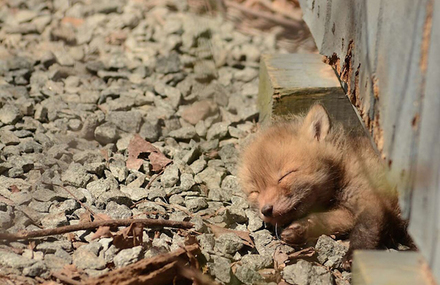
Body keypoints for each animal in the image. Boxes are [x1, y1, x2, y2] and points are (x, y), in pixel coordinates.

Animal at [237, 103, 412, 266]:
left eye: (285, 176)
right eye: (255, 192)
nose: (266, 210)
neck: (343, 170)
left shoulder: (372, 199)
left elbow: (365, 230)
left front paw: (352, 256)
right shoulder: (346, 213)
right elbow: (321, 220)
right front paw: (300, 229)